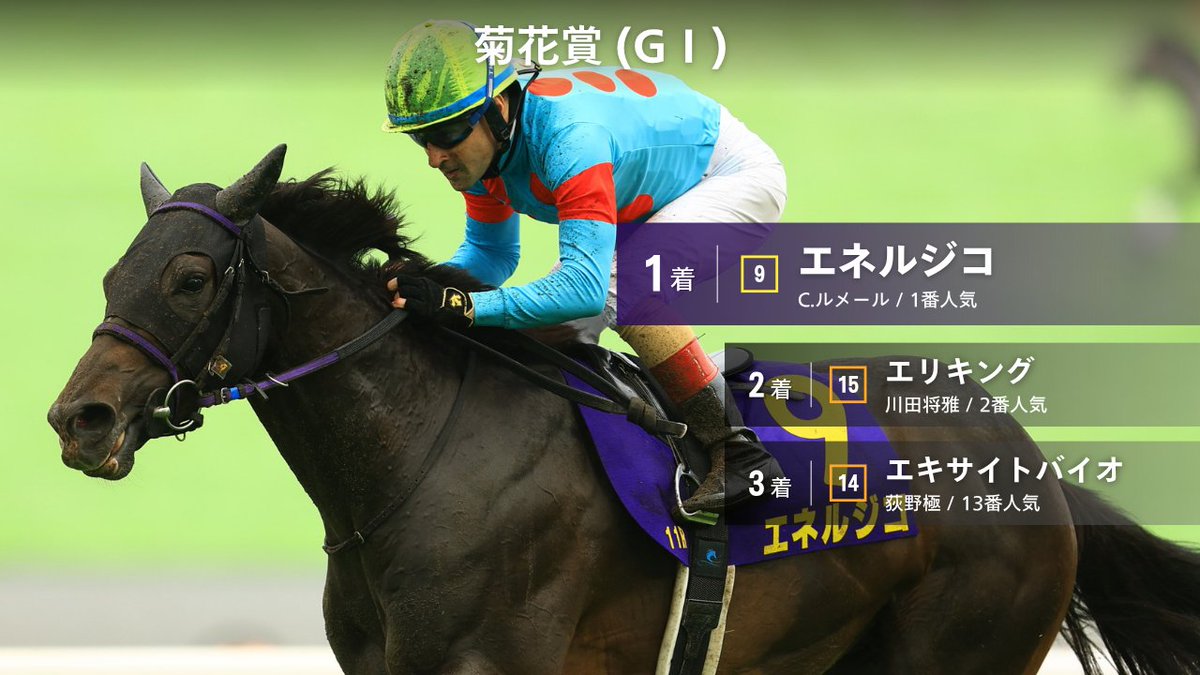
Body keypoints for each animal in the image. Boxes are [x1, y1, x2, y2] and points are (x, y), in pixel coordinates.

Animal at [48, 145, 1200, 674]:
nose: (80, 420)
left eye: (190, 277)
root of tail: (1031, 463)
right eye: (112, 272)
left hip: (957, 645)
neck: (417, 456)